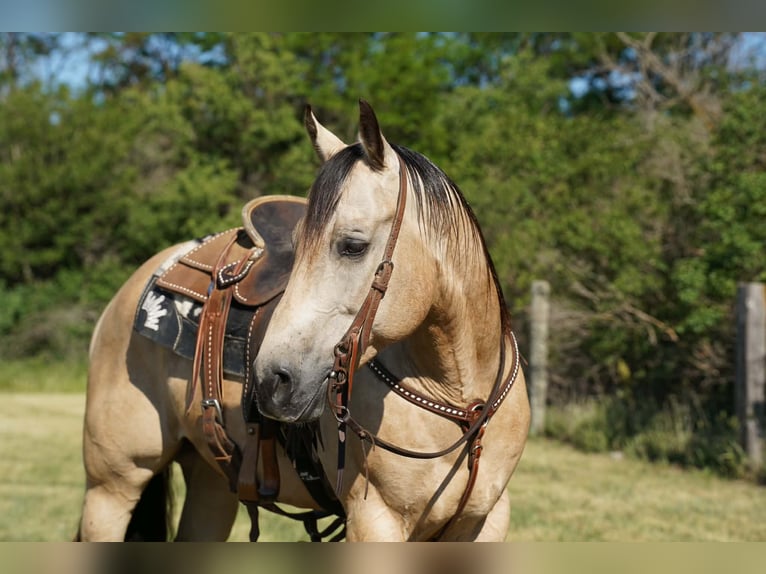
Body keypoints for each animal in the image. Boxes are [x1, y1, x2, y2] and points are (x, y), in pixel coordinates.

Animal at [252, 100, 530, 541]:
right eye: (296, 245)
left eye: (353, 245)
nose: (269, 381)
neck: (463, 403)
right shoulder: (375, 520)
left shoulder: (488, 520)